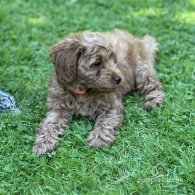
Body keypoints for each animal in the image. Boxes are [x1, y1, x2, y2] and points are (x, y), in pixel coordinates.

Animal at [32, 29, 164, 156]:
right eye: (97, 63)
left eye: (114, 61)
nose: (119, 79)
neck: (83, 90)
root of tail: (138, 40)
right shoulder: (58, 106)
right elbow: (49, 124)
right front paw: (43, 143)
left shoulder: (112, 105)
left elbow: (106, 121)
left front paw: (99, 138)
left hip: (141, 68)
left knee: (154, 86)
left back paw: (153, 101)